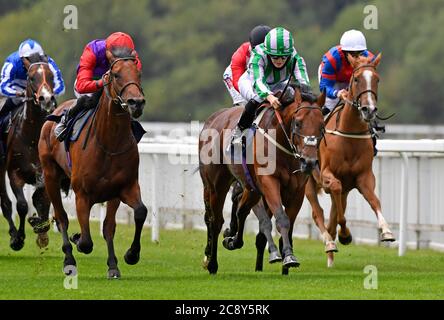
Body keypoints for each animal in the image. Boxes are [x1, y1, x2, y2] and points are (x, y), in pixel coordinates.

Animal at [0, 53, 57, 251]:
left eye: (51, 76)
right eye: (32, 77)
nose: (46, 99)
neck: (31, 136)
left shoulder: (45, 173)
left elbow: (41, 198)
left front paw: (41, 229)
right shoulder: (14, 173)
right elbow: (23, 205)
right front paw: (18, 238)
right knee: (6, 202)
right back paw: (12, 233)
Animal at [38, 48, 146, 278]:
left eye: (139, 74)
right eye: (116, 75)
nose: (136, 102)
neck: (109, 143)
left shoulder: (123, 188)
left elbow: (129, 217)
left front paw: (125, 258)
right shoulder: (82, 194)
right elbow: (86, 241)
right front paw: (77, 239)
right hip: (50, 176)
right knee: (61, 217)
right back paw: (69, 260)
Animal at [199, 87, 324, 276]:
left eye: (322, 126)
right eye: (298, 123)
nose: (309, 162)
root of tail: (213, 117)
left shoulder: (297, 191)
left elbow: (289, 224)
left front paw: (287, 261)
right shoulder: (269, 182)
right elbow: (282, 219)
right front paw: (287, 257)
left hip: (251, 189)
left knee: (241, 211)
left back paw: (232, 240)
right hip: (215, 186)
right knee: (215, 221)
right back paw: (212, 263)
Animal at [306, 53, 396, 268]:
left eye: (377, 79)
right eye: (356, 79)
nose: (369, 109)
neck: (349, 134)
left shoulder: (364, 177)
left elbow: (374, 200)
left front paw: (386, 231)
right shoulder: (327, 174)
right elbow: (336, 195)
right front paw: (345, 235)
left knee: (334, 213)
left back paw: (331, 255)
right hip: (307, 182)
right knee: (318, 212)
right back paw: (329, 243)